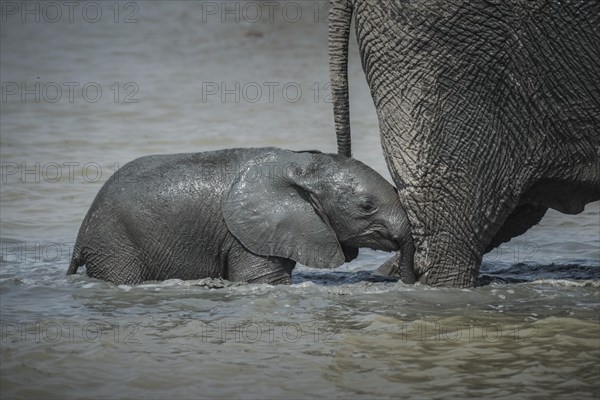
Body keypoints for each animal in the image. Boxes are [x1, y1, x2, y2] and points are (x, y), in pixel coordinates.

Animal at [65, 148, 412, 284]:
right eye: (366, 206)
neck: (301, 164)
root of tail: (81, 236)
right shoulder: (245, 235)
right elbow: (262, 280)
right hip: (116, 245)